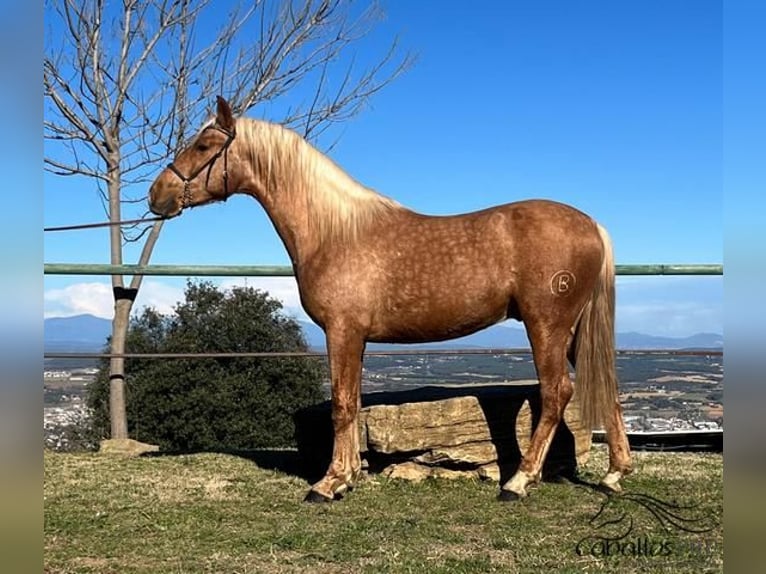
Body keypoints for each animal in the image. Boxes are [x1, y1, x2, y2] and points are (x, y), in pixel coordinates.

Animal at [147, 98, 632, 504]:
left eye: (204, 144)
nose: (157, 194)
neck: (335, 231)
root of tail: (592, 224)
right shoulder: (354, 337)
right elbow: (353, 400)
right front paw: (348, 475)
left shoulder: (342, 330)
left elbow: (342, 404)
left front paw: (329, 483)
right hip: (575, 329)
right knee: (605, 385)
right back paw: (614, 474)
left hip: (545, 324)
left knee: (556, 392)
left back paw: (519, 481)